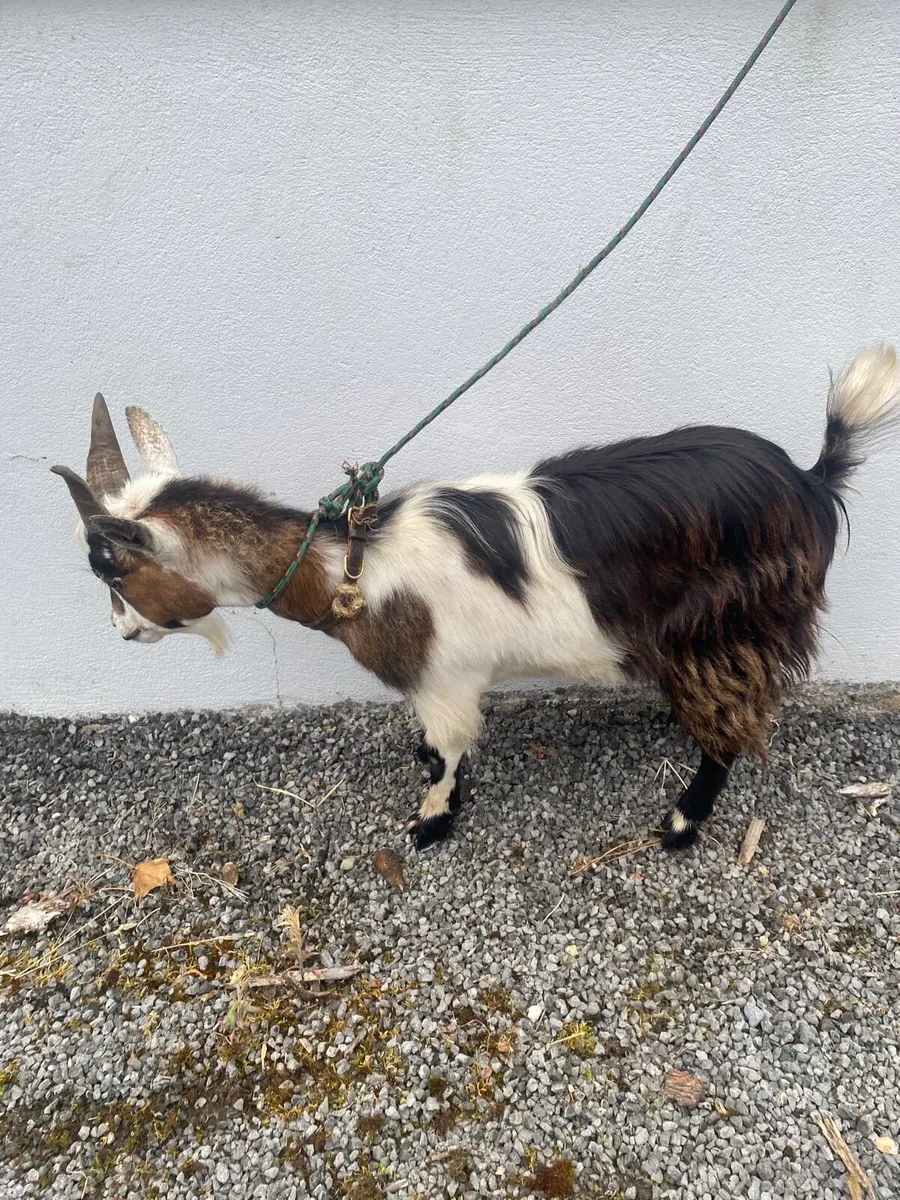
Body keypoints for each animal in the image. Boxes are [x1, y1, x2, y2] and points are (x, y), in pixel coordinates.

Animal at [52, 346, 900, 850]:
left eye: (108, 568)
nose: (122, 634)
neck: (353, 567)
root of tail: (811, 482)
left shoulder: (445, 680)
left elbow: (451, 750)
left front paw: (433, 819)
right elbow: (436, 748)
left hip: (727, 625)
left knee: (730, 729)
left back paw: (680, 822)